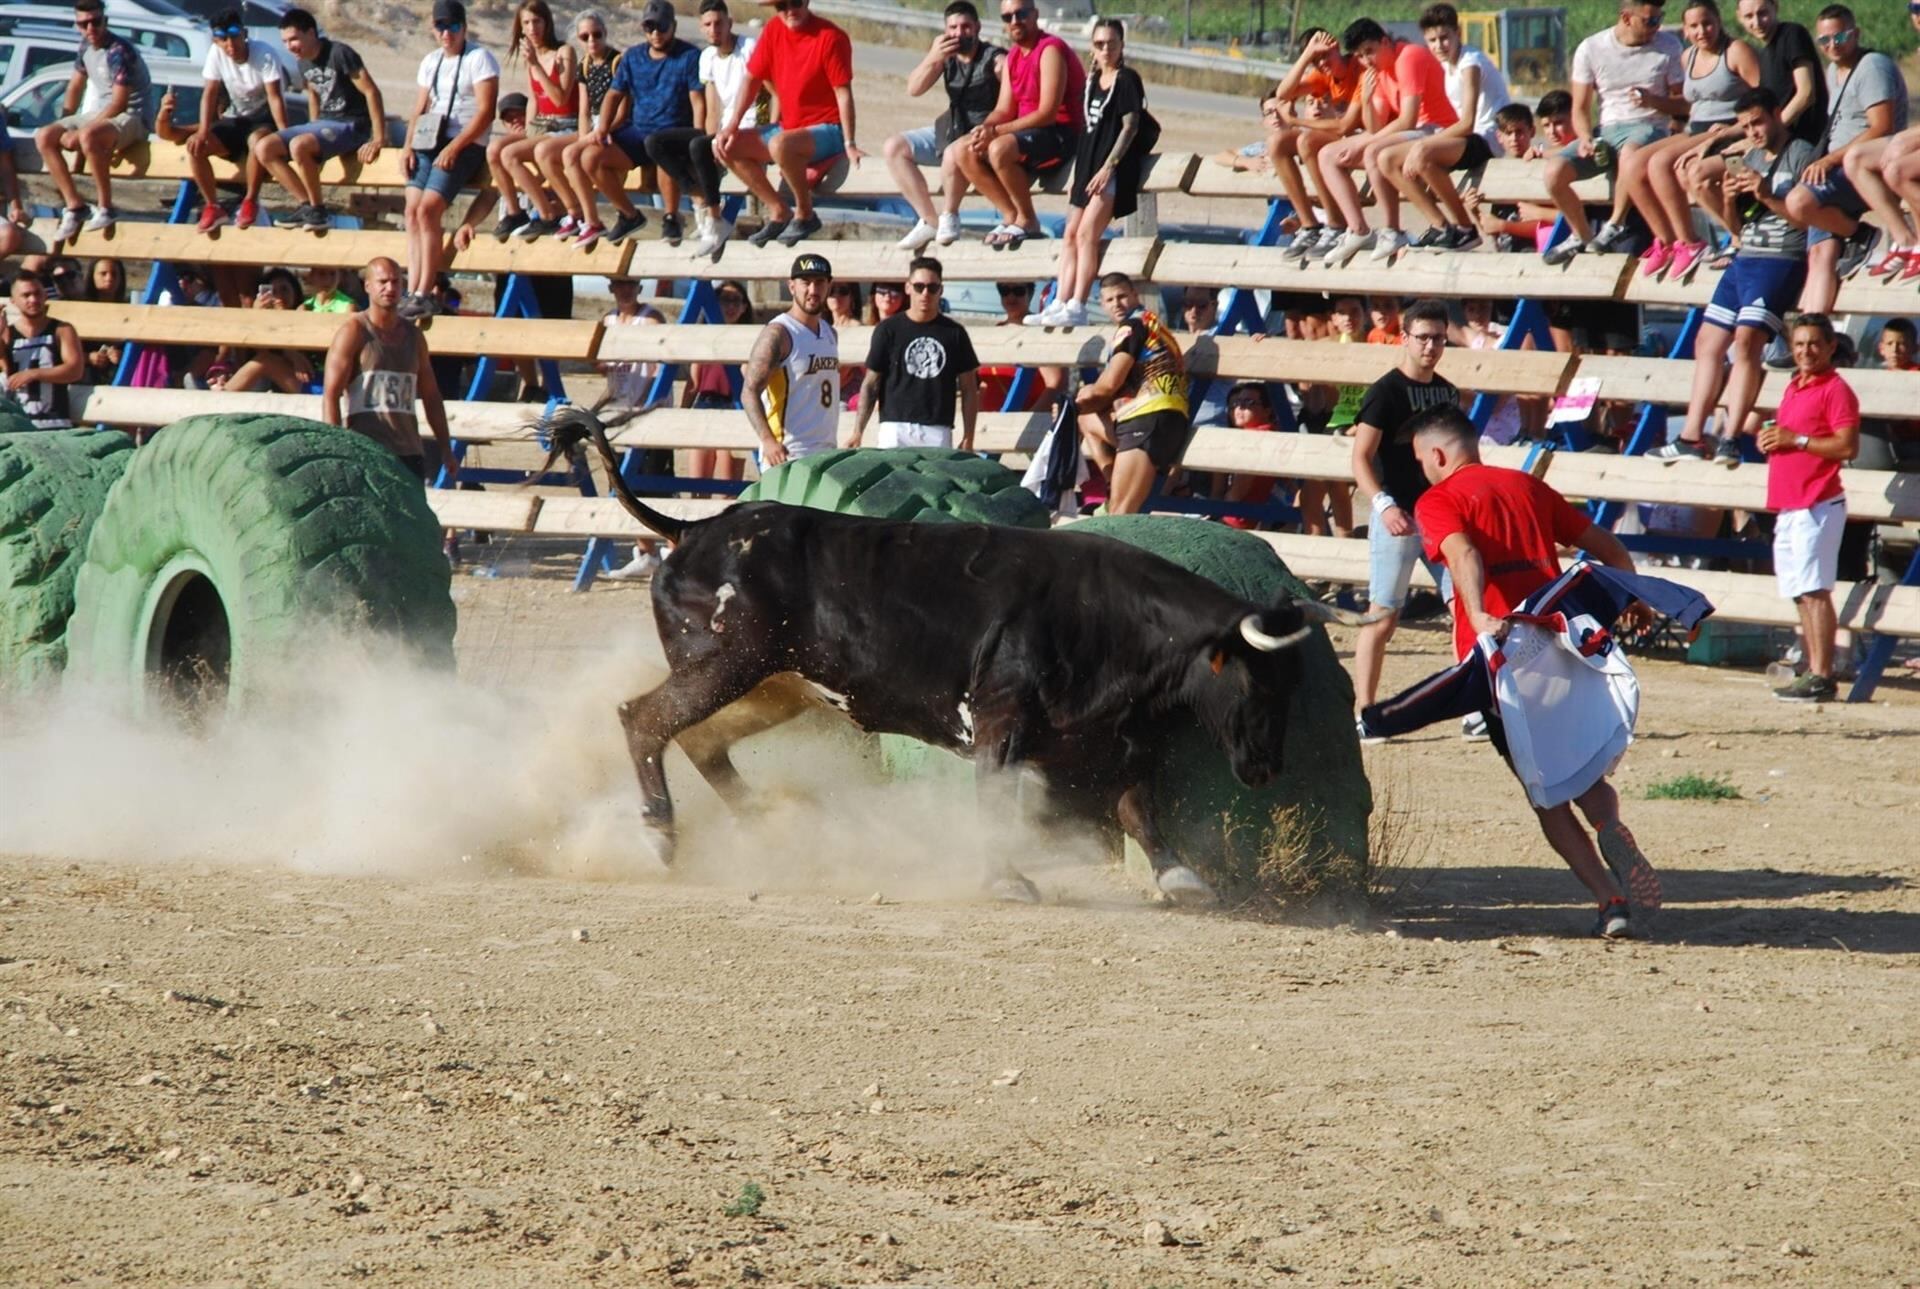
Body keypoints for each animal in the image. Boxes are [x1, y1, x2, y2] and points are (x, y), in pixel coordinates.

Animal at [541, 409, 1374, 902]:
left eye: (1295, 682)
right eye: (1254, 681)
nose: (1264, 768)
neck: (1109, 619)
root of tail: (695, 528)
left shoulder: (1118, 739)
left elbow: (1138, 807)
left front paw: (1180, 874)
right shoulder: (999, 723)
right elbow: (996, 802)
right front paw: (1004, 877)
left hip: (774, 683)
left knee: (701, 738)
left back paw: (773, 827)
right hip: (724, 666)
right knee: (644, 718)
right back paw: (660, 833)